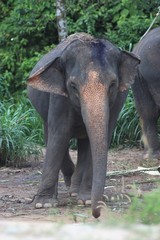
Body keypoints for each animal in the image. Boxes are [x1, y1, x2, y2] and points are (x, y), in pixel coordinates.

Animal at [26, 32, 139, 218]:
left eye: (113, 84)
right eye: (73, 86)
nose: (97, 214)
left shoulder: (118, 100)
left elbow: (103, 135)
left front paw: (85, 200)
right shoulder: (59, 98)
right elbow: (60, 135)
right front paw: (44, 204)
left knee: (85, 143)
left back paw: (75, 190)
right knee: (51, 136)